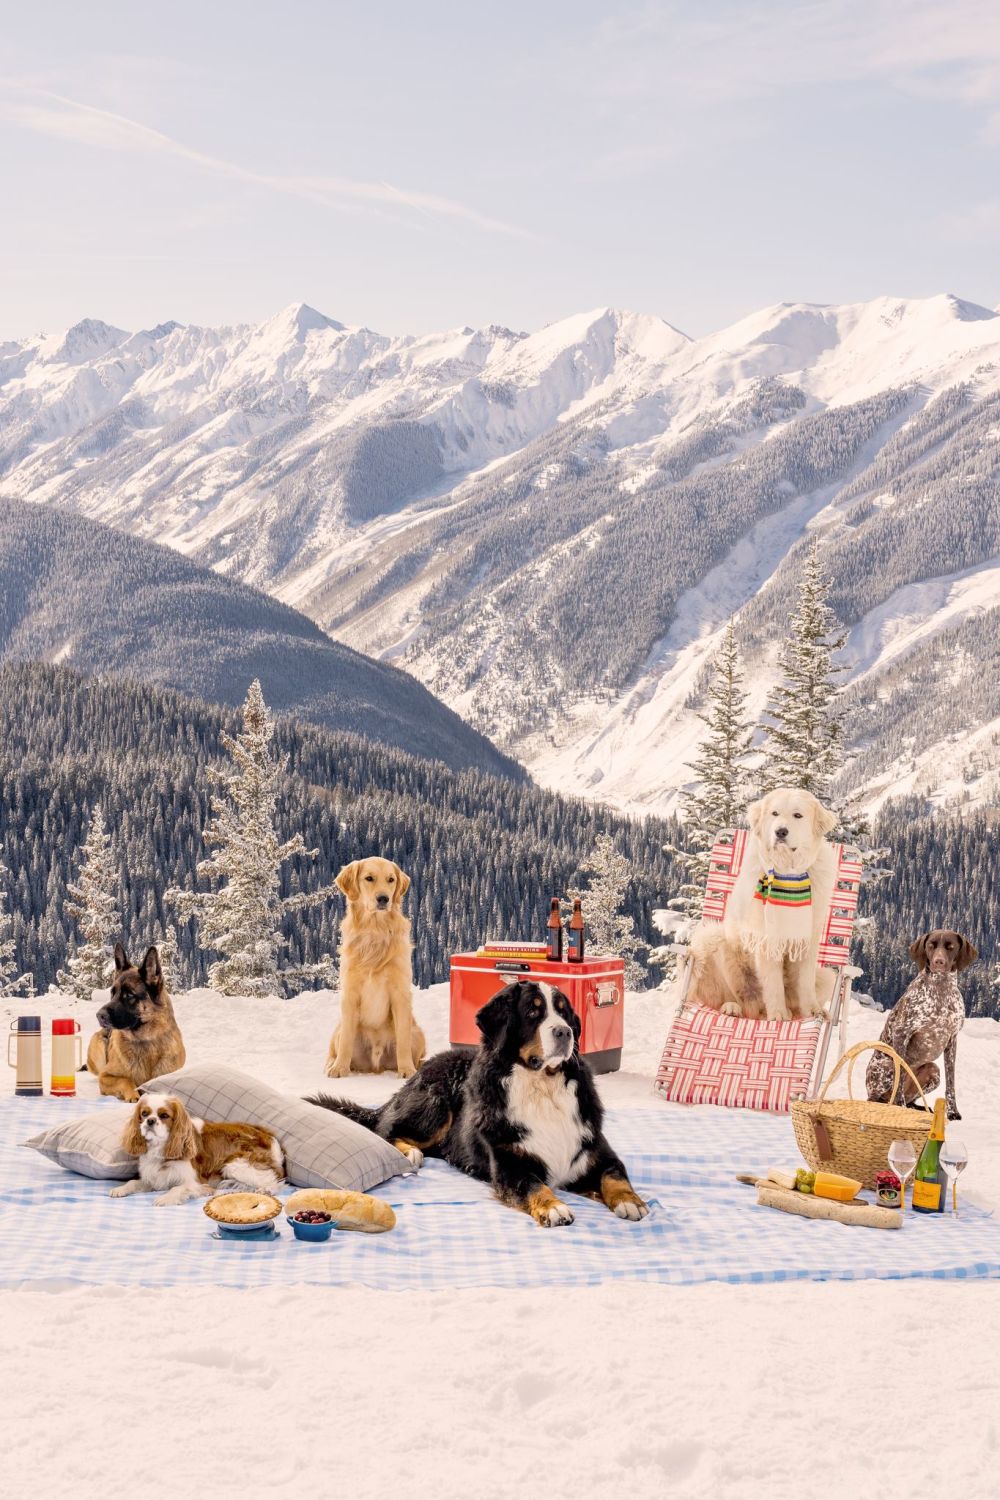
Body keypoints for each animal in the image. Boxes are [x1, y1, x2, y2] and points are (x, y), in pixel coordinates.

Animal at [86, 948, 185, 1104]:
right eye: (112, 993)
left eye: (129, 995)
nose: (99, 1015)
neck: (145, 1040)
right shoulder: (105, 1076)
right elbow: (125, 1080)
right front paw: (133, 1095)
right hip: (99, 1043)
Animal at [305, 978, 650, 1224]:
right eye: (533, 1012)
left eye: (564, 1011)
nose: (565, 1032)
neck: (542, 1087)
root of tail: (422, 1068)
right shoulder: (511, 1163)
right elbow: (534, 1185)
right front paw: (554, 1208)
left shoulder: (596, 1150)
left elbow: (615, 1175)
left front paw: (631, 1202)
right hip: (434, 1104)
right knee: (386, 1130)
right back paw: (410, 1153)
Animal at [689, 786, 839, 1020]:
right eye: (774, 813)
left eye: (797, 815)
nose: (780, 832)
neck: (787, 871)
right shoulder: (766, 937)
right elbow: (773, 982)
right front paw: (777, 1015)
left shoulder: (808, 936)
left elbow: (805, 981)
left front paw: (812, 1010)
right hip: (712, 939)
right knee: (730, 997)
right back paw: (732, 1007)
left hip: (826, 976)